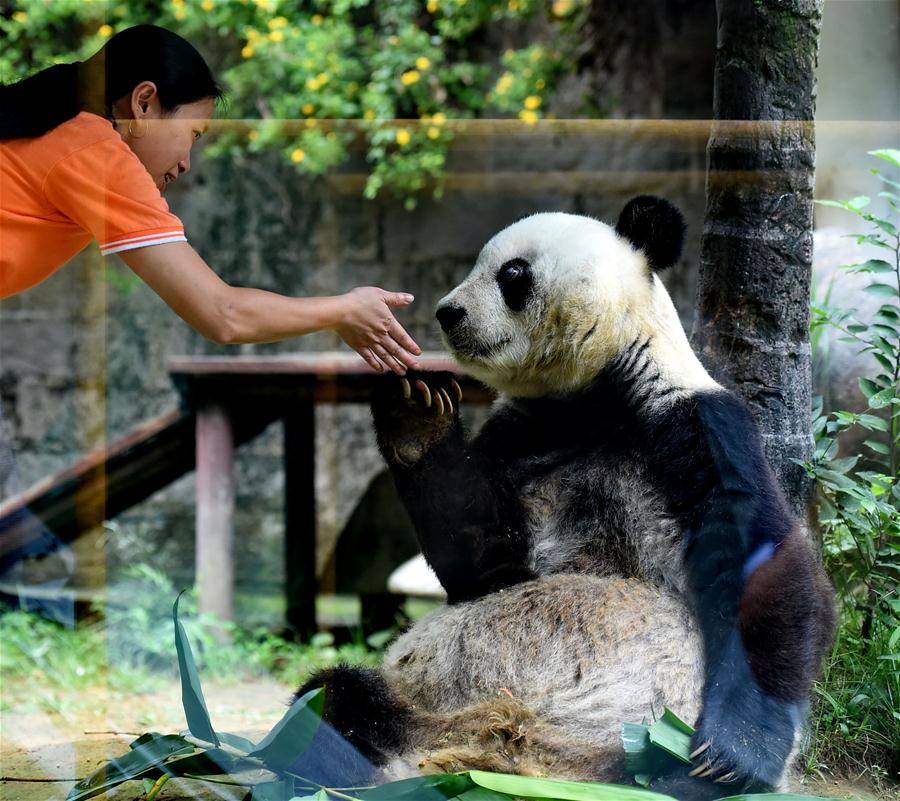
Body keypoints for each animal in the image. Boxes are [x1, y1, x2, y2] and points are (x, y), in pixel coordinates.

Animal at [298, 197, 836, 796]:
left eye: (511, 273)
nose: (446, 313)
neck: (588, 398)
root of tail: (509, 750)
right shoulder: (519, 436)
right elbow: (484, 568)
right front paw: (414, 410)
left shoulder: (697, 427)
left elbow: (764, 567)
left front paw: (733, 752)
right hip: (422, 705)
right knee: (336, 698)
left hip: (634, 743)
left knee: (679, 779)